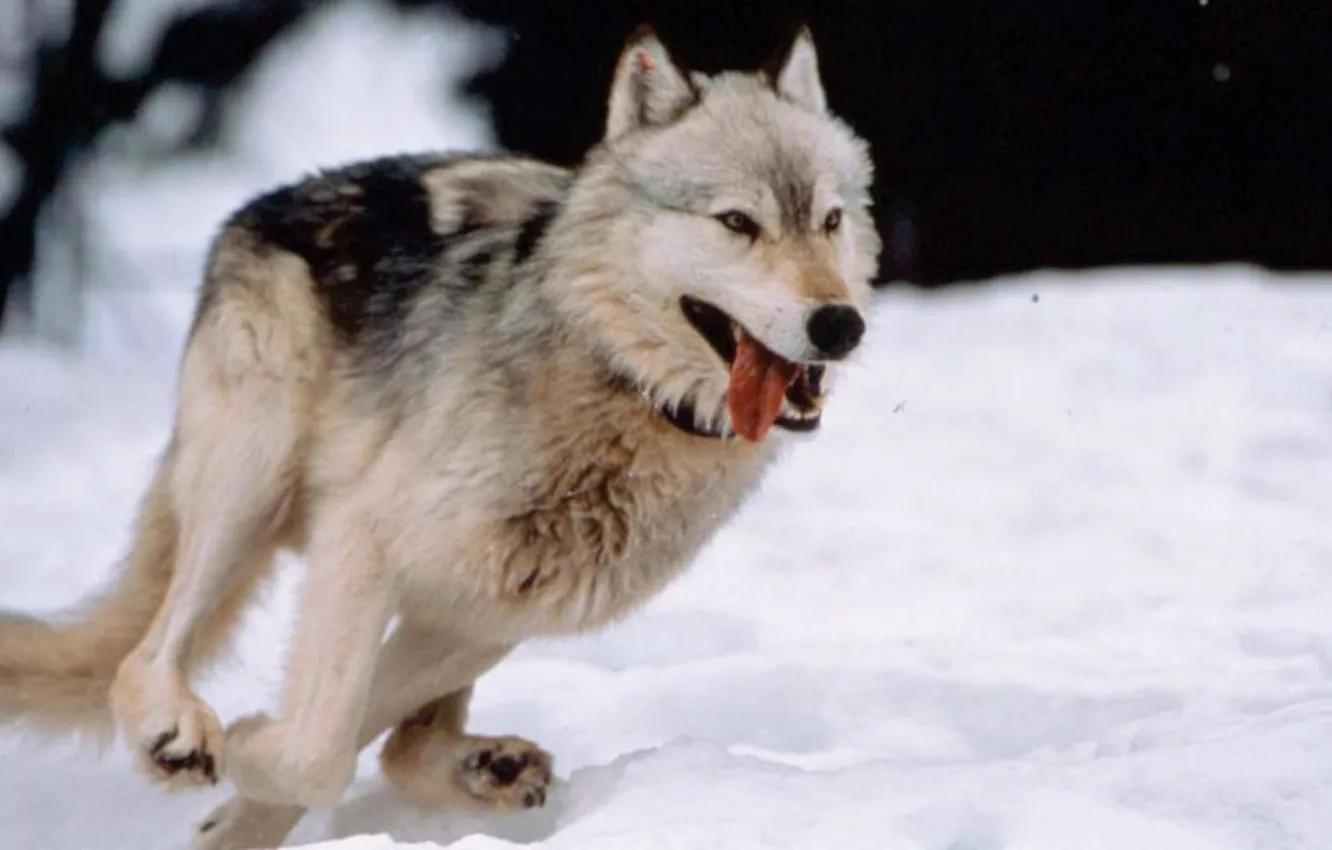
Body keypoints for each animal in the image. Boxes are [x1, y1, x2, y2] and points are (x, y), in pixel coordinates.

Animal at [0, 23, 878, 850]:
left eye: (830, 221)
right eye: (738, 222)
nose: (841, 324)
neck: (613, 386)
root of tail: (259, 207)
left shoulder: (482, 610)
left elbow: (340, 742)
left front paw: (245, 790)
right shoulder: (363, 541)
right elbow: (318, 751)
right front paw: (246, 744)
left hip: (459, 602)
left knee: (398, 740)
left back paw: (484, 770)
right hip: (250, 488)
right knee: (144, 656)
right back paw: (175, 736)